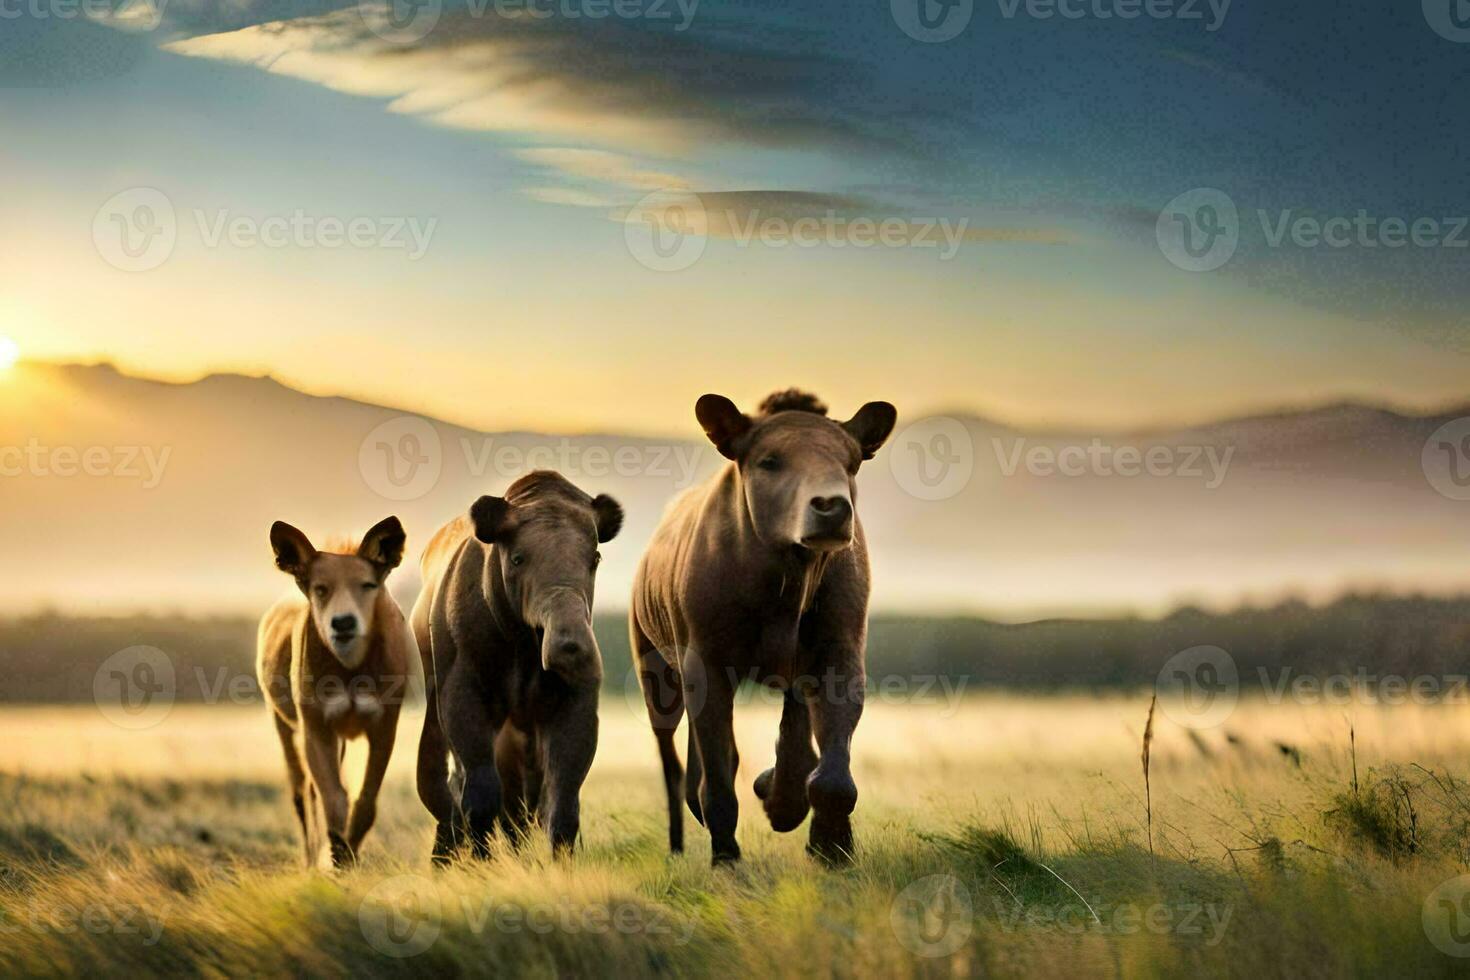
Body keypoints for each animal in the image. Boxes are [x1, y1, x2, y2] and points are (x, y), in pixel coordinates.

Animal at [411, 470, 623, 863]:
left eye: (595, 557)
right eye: (518, 558)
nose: (570, 646)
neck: (523, 649)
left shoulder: (575, 700)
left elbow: (562, 801)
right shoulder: (462, 694)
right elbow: (480, 796)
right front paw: (482, 864)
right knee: (451, 789)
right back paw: (445, 857)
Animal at [626, 390, 887, 863]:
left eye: (850, 462)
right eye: (769, 461)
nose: (831, 506)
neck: (787, 576)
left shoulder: (835, 652)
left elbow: (826, 768)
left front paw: (828, 842)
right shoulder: (705, 663)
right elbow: (718, 780)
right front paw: (727, 856)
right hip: (654, 672)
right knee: (673, 761)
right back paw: (678, 844)